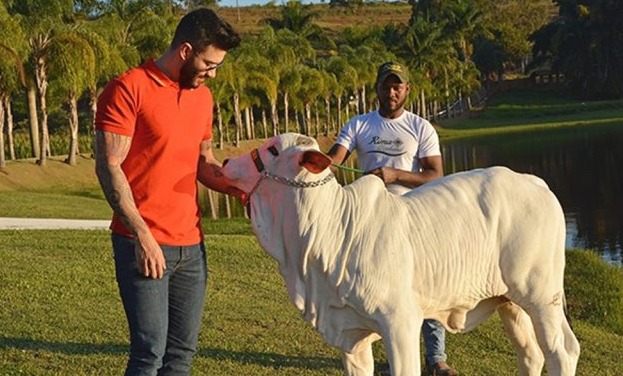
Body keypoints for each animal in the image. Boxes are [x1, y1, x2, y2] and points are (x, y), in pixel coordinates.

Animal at [222, 134, 584, 374]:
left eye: (272, 149)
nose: (225, 162)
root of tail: (535, 182)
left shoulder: (400, 322)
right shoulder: (351, 334)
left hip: (541, 295)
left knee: (562, 351)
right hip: (509, 300)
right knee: (531, 354)